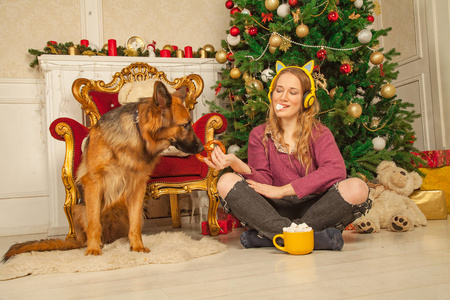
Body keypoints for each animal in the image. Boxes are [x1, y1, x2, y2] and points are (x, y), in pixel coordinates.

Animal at [3, 81, 204, 262]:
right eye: (186, 125)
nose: (202, 148)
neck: (137, 134)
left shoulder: (137, 187)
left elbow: (135, 225)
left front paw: (137, 246)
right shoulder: (94, 183)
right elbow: (94, 224)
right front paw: (93, 251)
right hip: (78, 208)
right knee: (89, 232)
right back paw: (93, 244)